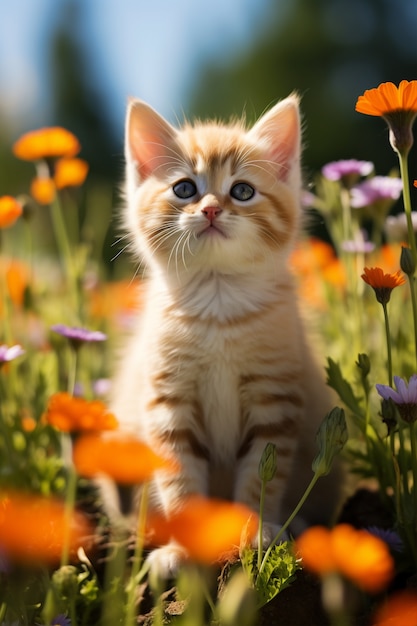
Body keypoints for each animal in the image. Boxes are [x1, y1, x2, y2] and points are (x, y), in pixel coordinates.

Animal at [106, 94, 342, 576]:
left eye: (242, 191)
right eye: (184, 189)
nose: (212, 209)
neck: (218, 307)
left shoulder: (275, 400)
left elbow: (261, 474)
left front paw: (256, 531)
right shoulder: (168, 403)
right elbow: (179, 479)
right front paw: (183, 547)